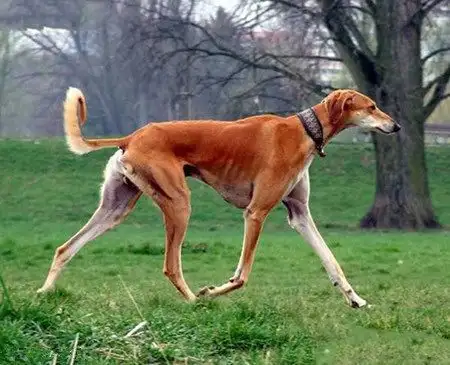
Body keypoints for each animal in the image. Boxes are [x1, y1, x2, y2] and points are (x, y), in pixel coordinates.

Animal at [37, 88, 400, 308]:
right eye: (371, 106)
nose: (396, 126)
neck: (303, 130)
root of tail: (131, 137)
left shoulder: (300, 215)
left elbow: (331, 261)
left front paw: (355, 299)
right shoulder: (255, 212)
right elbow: (241, 276)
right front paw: (211, 291)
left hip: (115, 208)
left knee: (65, 248)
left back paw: (44, 292)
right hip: (179, 203)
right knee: (171, 266)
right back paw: (195, 301)